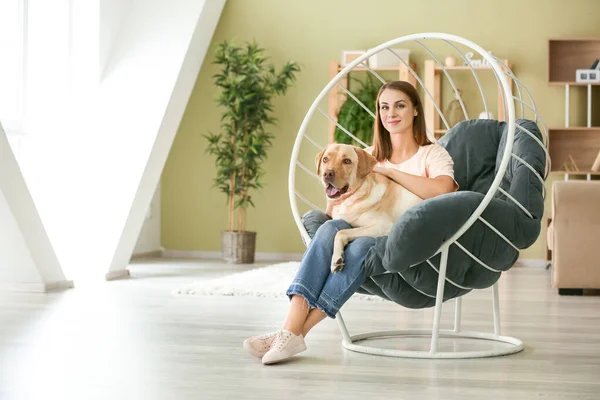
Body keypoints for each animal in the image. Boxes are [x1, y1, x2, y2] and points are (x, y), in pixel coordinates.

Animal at [316, 143, 424, 272]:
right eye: (325, 159)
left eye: (347, 161)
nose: (327, 174)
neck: (353, 197)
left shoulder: (383, 225)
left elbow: (341, 233)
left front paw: (336, 258)